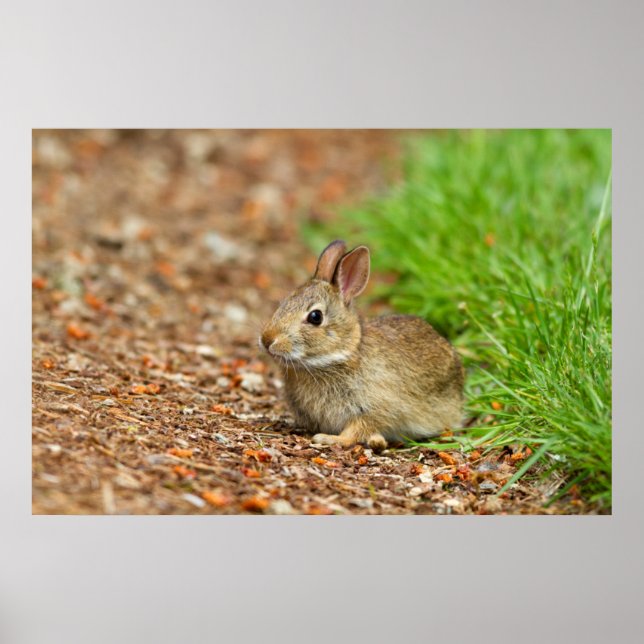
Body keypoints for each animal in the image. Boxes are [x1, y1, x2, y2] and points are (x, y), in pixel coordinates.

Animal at [259, 240, 464, 450]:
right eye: (284, 303)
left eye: (315, 317)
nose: (267, 340)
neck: (340, 355)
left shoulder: (375, 408)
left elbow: (357, 428)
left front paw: (329, 439)